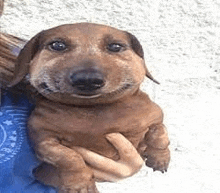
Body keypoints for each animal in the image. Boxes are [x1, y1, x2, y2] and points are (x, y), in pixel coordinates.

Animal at [9, 23, 170, 193]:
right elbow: (69, 158)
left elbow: (160, 134)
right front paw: (79, 183)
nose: (87, 79)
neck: (94, 108)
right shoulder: (44, 141)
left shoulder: (155, 117)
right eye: (57, 45)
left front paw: (160, 158)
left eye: (115, 46)